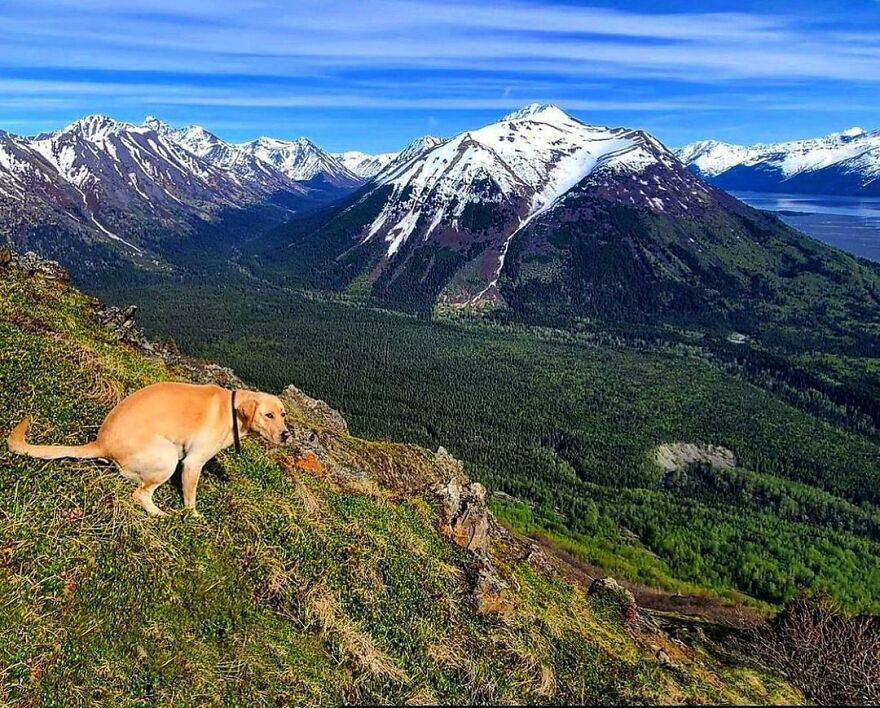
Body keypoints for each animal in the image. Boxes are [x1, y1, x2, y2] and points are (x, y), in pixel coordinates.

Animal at [7, 382, 288, 516]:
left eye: (283, 414)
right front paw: (194, 517)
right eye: (269, 415)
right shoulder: (192, 463)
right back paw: (160, 514)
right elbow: (190, 498)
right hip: (168, 457)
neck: (232, 411)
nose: (286, 435)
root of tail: (100, 442)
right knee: (140, 494)